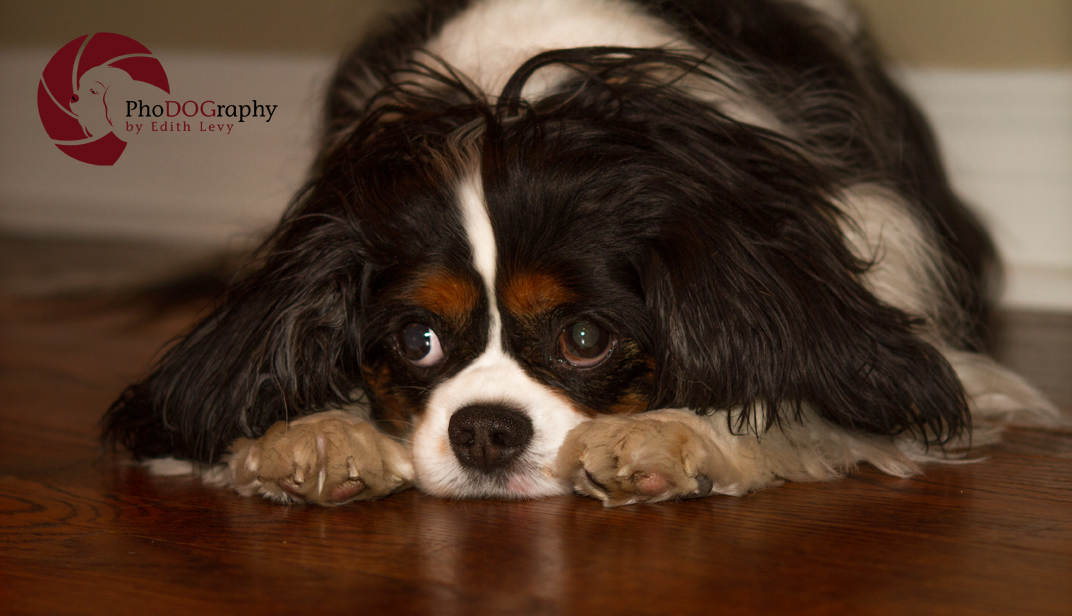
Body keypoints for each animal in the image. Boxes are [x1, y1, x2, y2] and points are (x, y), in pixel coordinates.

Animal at [103, 0, 1061, 507]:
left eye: (586, 339)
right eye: (417, 340)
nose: (485, 432)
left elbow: (790, 386)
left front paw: (668, 435)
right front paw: (312, 433)